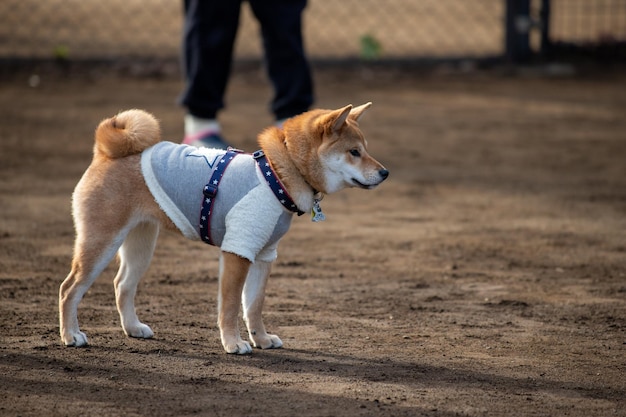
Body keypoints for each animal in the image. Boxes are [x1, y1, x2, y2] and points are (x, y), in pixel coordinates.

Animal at [61, 102, 388, 352]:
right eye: (354, 152)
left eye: (366, 149)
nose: (385, 172)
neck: (276, 174)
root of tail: (105, 152)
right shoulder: (238, 250)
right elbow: (231, 306)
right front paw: (233, 343)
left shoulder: (264, 254)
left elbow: (253, 306)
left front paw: (261, 339)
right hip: (101, 242)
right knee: (69, 289)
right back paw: (71, 335)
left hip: (141, 245)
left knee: (122, 285)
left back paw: (132, 328)